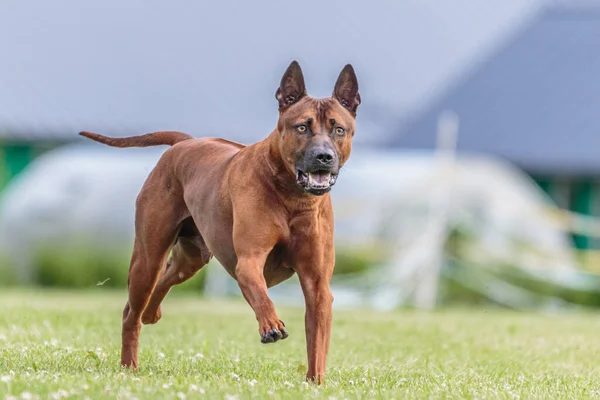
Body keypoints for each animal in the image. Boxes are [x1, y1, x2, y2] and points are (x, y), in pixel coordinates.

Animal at [79, 60, 360, 384]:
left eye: (338, 129)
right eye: (302, 127)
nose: (323, 157)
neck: (293, 197)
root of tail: (185, 142)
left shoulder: (317, 283)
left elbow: (317, 341)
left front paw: (316, 382)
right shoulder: (248, 261)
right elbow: (260, 293)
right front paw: (271, 324)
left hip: (191, 258)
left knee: (167, 277)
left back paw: (152, 313)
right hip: (147, 256)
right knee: (131, 311)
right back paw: (129, 364)